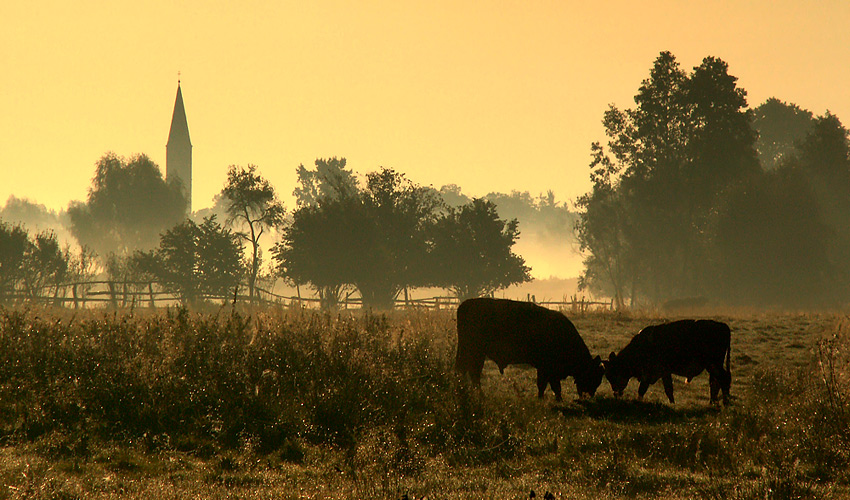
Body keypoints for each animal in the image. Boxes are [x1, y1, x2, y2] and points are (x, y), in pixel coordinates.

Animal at [458, 296, 604, 402]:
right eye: (593, 375)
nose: (589, 396)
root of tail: (465, 305)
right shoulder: (547, 368)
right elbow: (550, 385)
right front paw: (555, 399)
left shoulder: (545, 369)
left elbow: (546, 385)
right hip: (475, 352)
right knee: (472, 373)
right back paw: (478, 395)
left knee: (466, 371)